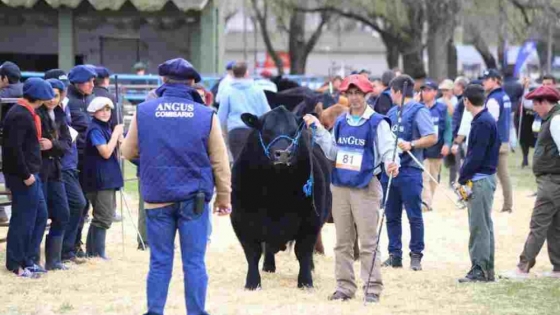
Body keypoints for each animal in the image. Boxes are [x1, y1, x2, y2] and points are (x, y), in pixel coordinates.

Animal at [232, 107, 332, 292]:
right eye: (266, 130)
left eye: (294, 132)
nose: (283, 154)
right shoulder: (241, 220)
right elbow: (253, 253)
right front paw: (252, 283)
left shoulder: (311, 222)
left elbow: (303, 252)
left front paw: (306, 282)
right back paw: (268, 266)